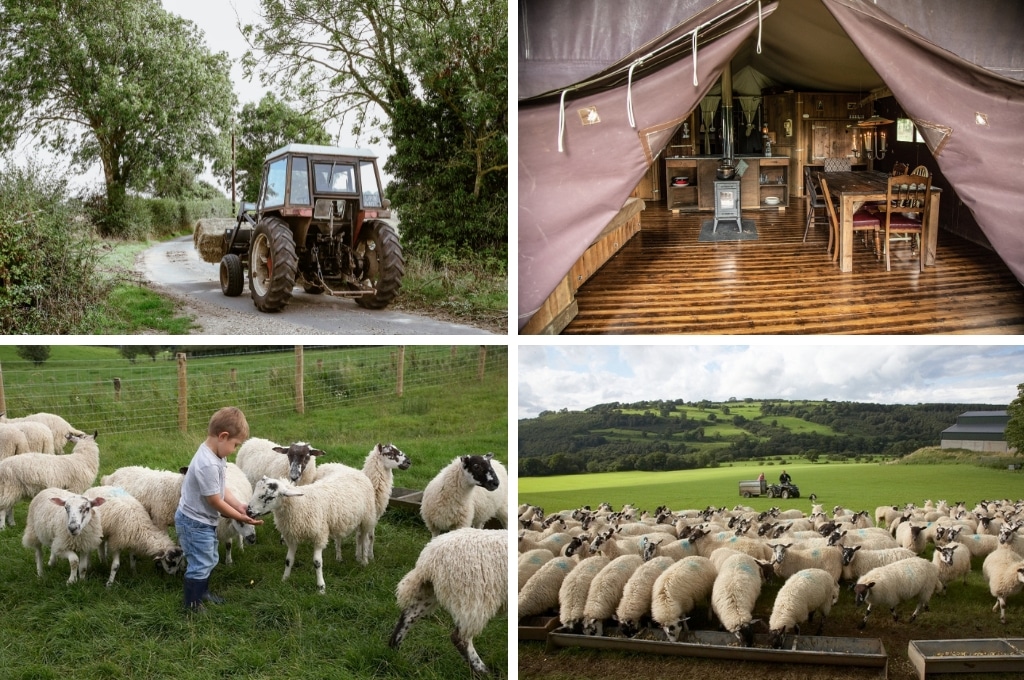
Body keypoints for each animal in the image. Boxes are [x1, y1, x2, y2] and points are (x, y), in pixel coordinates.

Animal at [245, 475, 378, 593]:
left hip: (367, 518)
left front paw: (321, 588)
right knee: (351, 538)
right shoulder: (292, 537)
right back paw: (343, 557)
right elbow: (288, 560)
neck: (300, 504)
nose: (248, 512)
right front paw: (284, 579)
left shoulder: (319, 536)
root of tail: (355, 471)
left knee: (365, 539)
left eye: (270, 497)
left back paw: (364, 560)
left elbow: (317, 563)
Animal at [389, 524, 505, 675]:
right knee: (461, 638)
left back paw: (394, 651)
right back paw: (483, 671)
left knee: (407, 616)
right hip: (474, 597)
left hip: (430, 590)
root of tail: (428, 560)